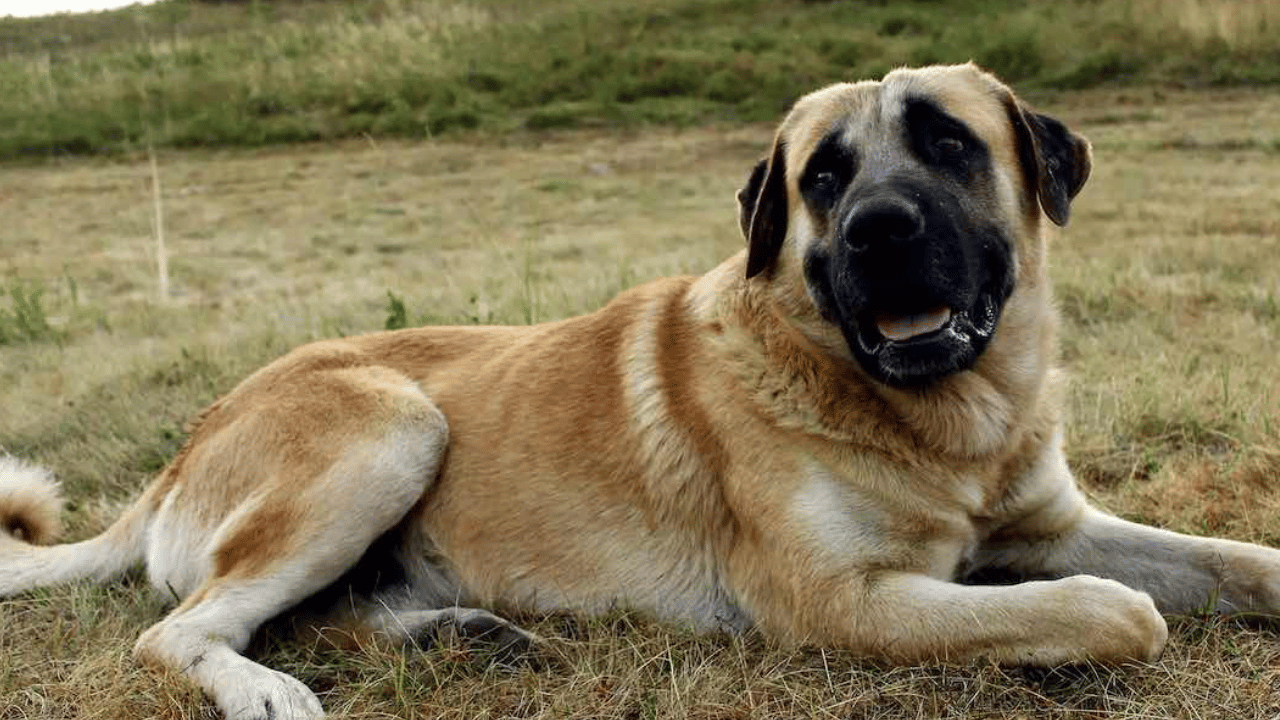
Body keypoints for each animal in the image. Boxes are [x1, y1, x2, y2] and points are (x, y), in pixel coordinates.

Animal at [2, 63, 1280, 717]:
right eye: (822, 177)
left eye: (948, 143)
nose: (875, 230)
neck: (941, 427)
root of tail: (183, 446)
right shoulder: (837, 601)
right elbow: (1115, 611)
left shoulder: (1052, 524)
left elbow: (1233, 561)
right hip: (393, 426)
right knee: (180, 631)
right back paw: (263, 690)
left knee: (297, 611)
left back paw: (453, 634)